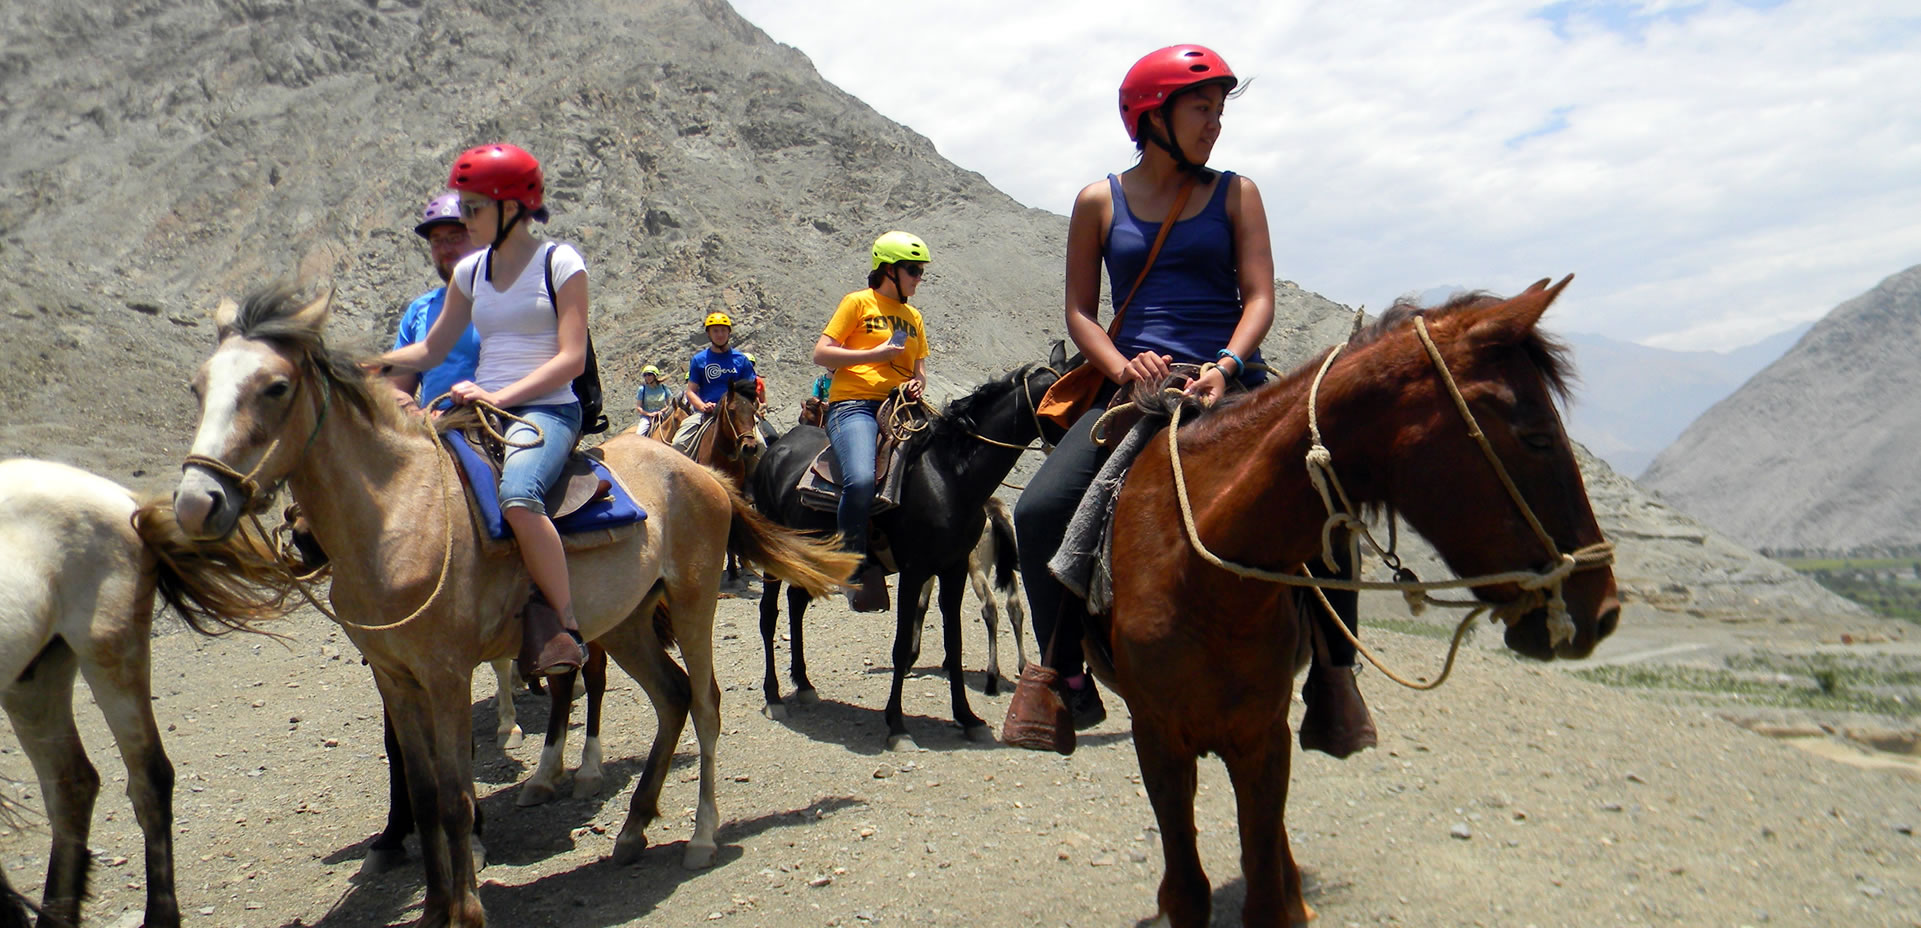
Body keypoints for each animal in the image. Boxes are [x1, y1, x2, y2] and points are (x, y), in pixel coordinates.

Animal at [172, 288, 856, 928]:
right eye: (198, 387)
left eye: (275, 386)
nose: (197, 502)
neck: (399, 515)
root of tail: (705, 476)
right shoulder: (395, 678)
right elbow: (423, 793)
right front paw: (431, 906)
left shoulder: (446, 675)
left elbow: (454, 796)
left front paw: (466, 910)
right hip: (628, 624)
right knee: (672, 698)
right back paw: (633, 828)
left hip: (690, 604)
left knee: (706, 704)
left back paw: (702, 836)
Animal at [745, 345, 1068, 753]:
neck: (950, 476)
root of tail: (775, 450)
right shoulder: (914, 571)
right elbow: (901, 646)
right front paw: (897, 725)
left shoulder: (953, 569)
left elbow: (954, 643)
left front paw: (968, 718)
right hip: (775, 556)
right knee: (769, 614)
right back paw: (773, 696)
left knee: (796, 604)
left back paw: (803, 684)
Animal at [1098, 282, 1621, 928]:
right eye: (1537, 437)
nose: (1605, 610)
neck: (1201, 580)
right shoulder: (1157, 739)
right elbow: (1190, 892)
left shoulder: (1262, 735)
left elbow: (1264, 884)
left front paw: (1283, 897)